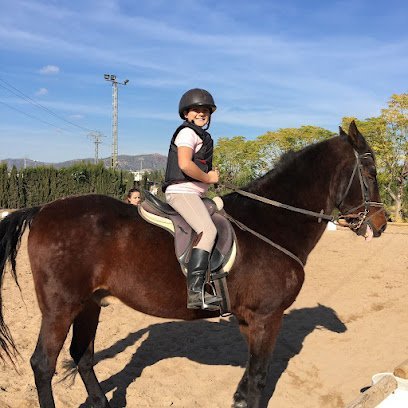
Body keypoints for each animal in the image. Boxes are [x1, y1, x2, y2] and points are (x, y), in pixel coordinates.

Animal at [0, 122, 386, 408]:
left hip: (89, 304)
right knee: (43, 364)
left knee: (82, 356)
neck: (271, 222)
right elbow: (259, 376)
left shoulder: (250, 319)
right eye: (369, 171)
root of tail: (43, 210)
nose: (381, 224)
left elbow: (249, 376)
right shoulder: (266, 316)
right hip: (61, 307)